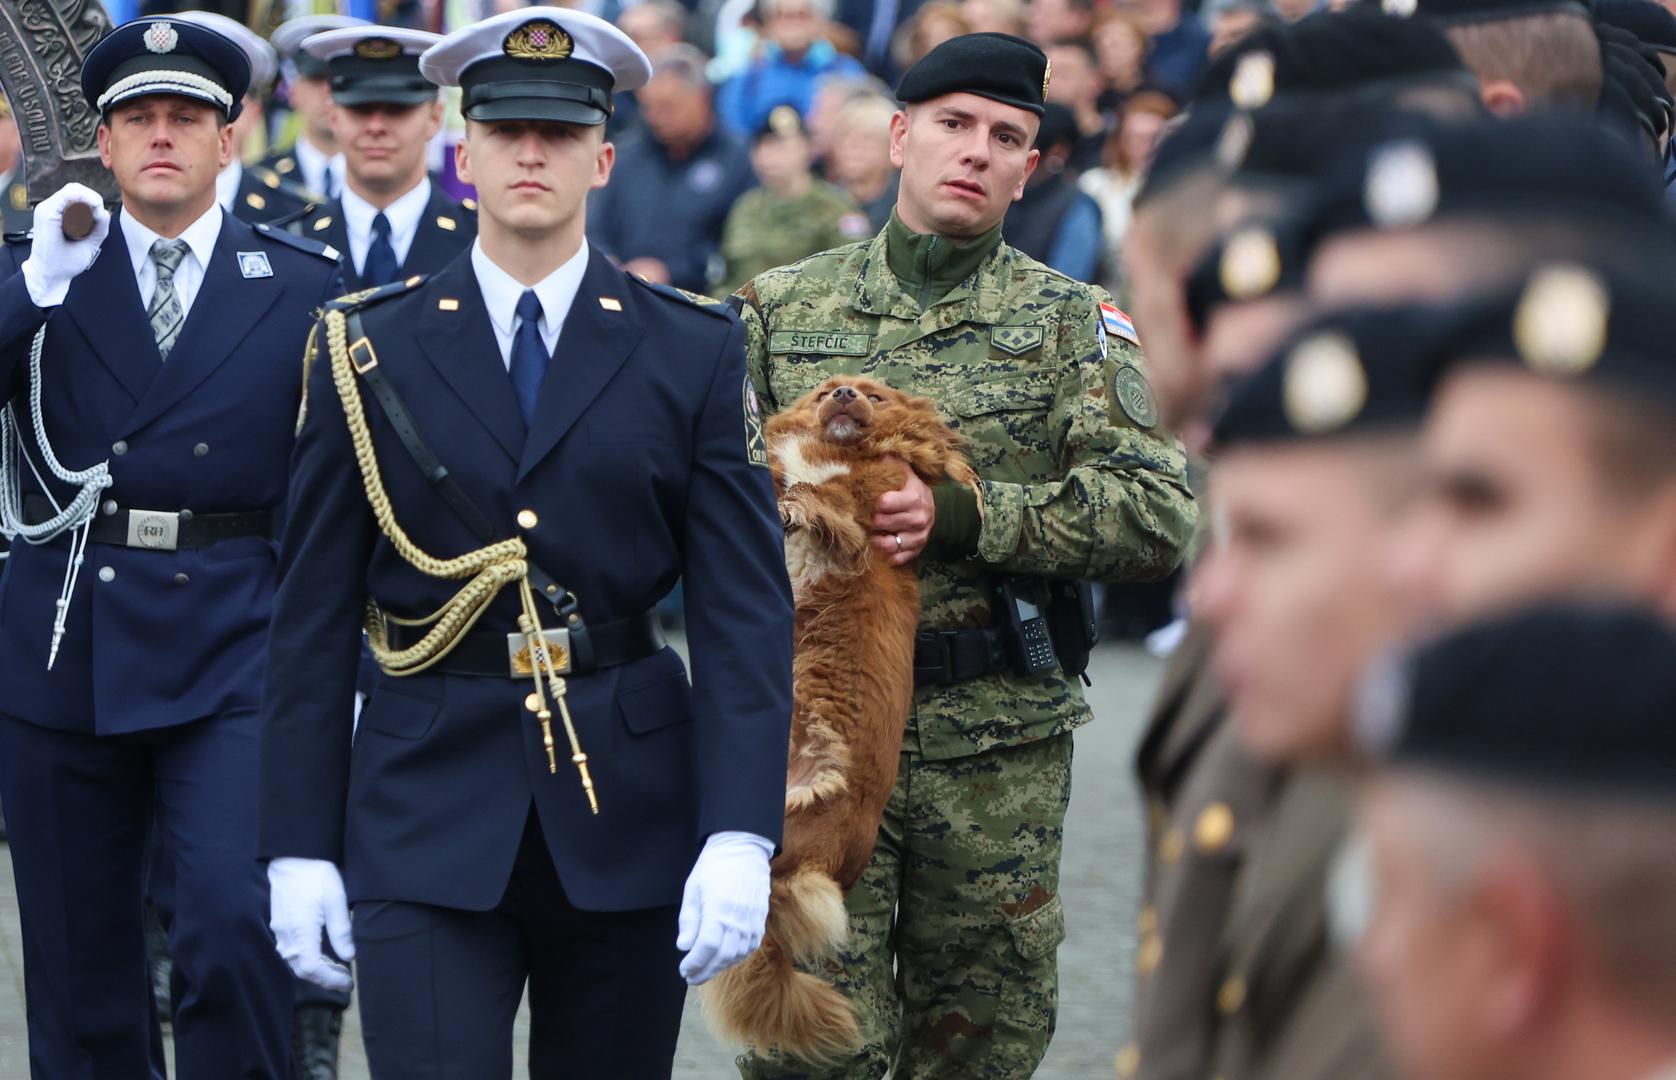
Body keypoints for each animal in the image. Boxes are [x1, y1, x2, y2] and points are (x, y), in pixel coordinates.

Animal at [700, 375, 978, 1059]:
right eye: (828, 389)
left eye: (874, 396)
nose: (847, 391)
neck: (834, 448)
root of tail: (824, 865)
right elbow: (779, 474)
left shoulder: (869, 503)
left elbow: (821, 499)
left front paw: (798, 505)